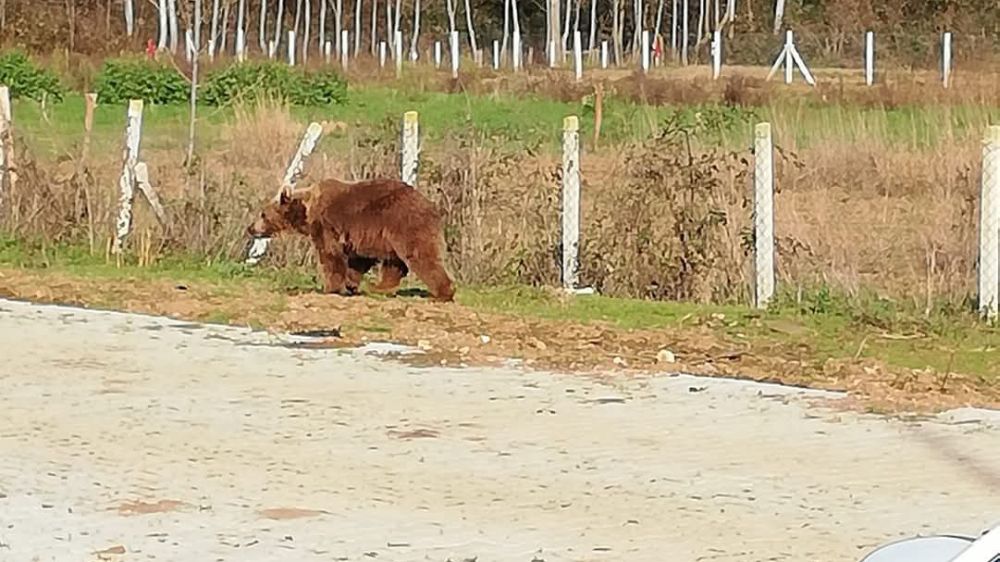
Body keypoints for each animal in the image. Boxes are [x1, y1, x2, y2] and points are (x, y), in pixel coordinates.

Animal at [248, 178, 456, 302]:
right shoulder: (363, 237)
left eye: (263, 214)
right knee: (394, 264)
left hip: (405, 224)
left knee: (422, 257)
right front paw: (350, 284)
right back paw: (378, 287)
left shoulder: (327, 226)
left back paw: (442, 293)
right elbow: (358, 261)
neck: (307, 212)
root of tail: (432, 206)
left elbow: (330, 255)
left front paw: (330, 288)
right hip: (392, 236)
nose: (250, 228)